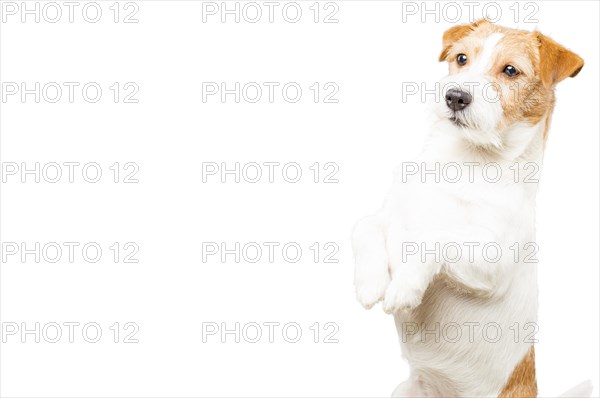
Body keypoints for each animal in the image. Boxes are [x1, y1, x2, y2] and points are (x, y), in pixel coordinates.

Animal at [352, 20, 592, 396]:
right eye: (462, 58)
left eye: (510, 70)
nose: (455, 96)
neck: (463, 163)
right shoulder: (389, 217)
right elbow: (364, 226)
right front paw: (371, 282)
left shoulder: (490, 264)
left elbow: (433, 241)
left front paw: (404, 286)